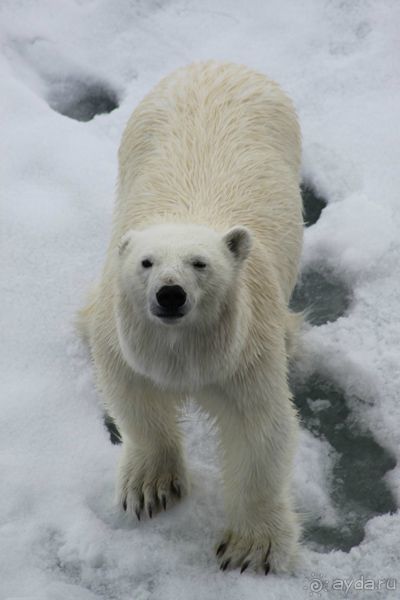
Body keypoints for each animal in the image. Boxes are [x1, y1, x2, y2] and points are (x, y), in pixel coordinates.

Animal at [79, 62, 304, 576]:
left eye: (200, 263)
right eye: (146, 263)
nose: (170, 294)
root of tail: (219, 63)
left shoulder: (245, 349)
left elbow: (259, 429)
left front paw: (251, 549)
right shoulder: (122, 339)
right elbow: (135, 398)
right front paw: (150, 488)